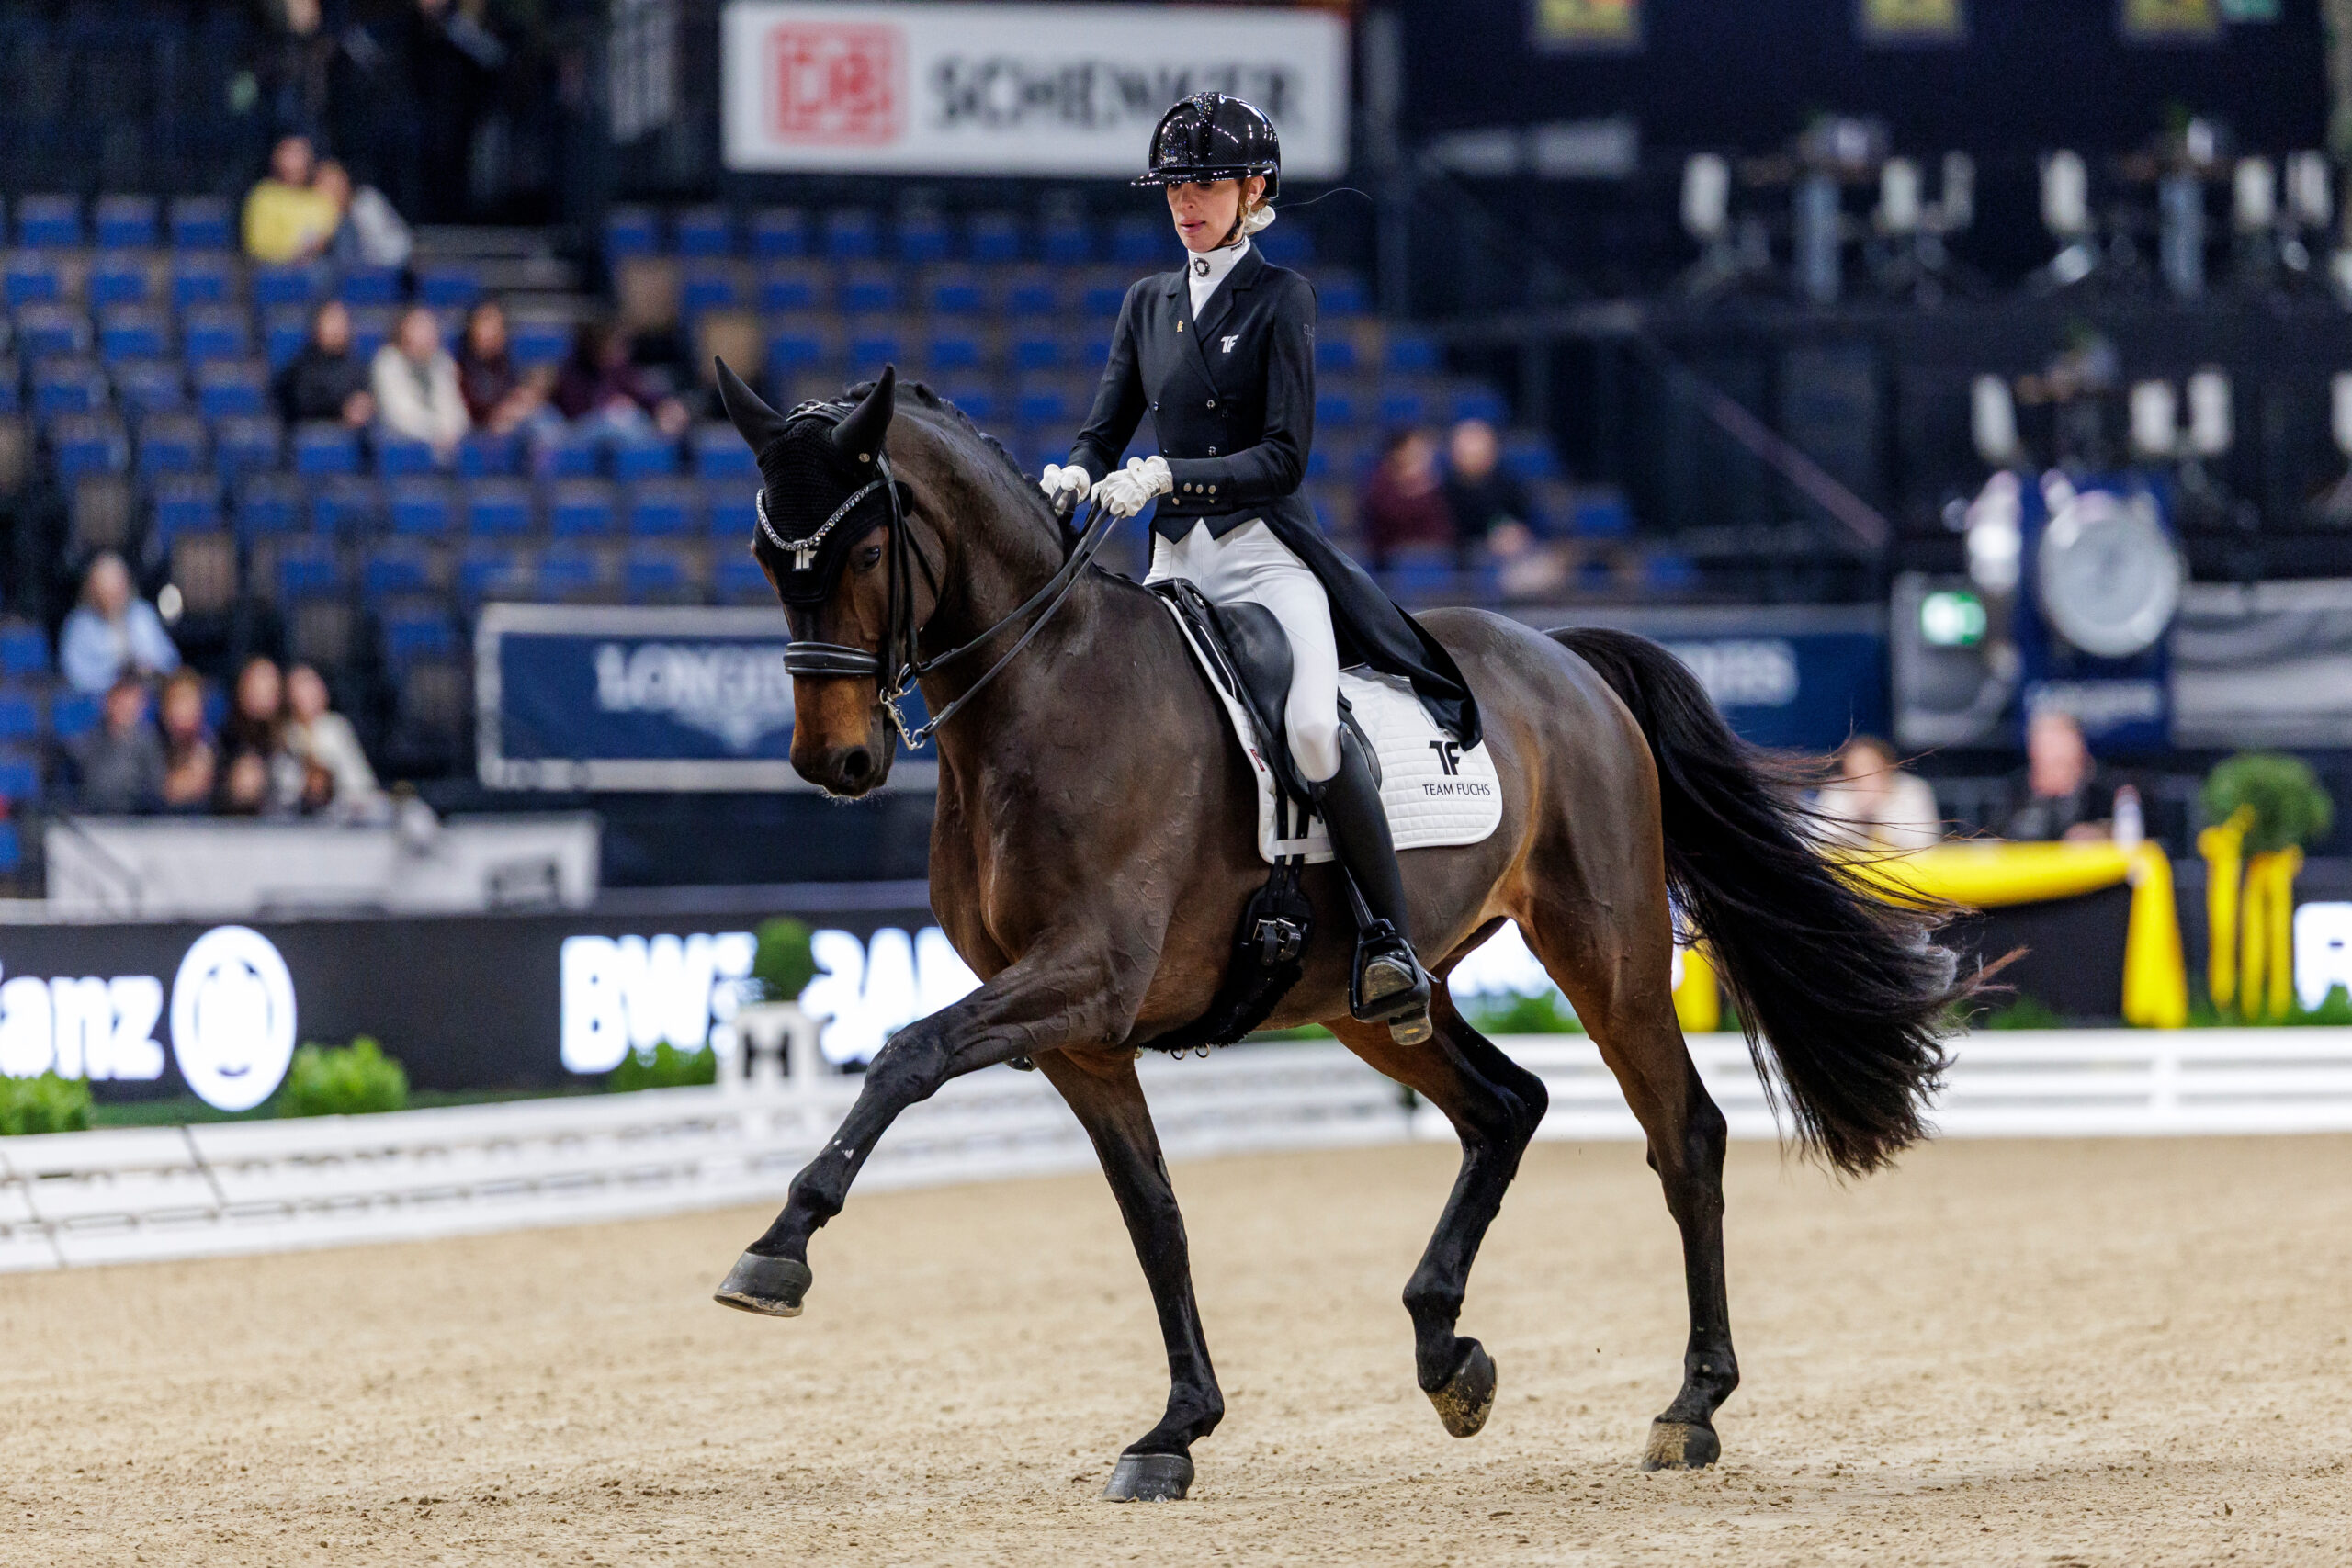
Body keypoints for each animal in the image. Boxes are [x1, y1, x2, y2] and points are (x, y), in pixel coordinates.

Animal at [708, 364, 1967, 1501]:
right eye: (770, 560)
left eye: (867, 554)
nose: (835, 761)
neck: (1047, 692)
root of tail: (1566, 658)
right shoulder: (1081, 1036)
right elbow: (1152, 1213)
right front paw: (1176, 1429)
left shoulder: (1087, 976)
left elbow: (906, 1053)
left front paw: (777, 1251)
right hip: (1365, 1000)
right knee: (1506, 1106)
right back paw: (1447, 1355)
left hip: (1603, 953)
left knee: (1684, 1135)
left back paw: (1689, 1407)